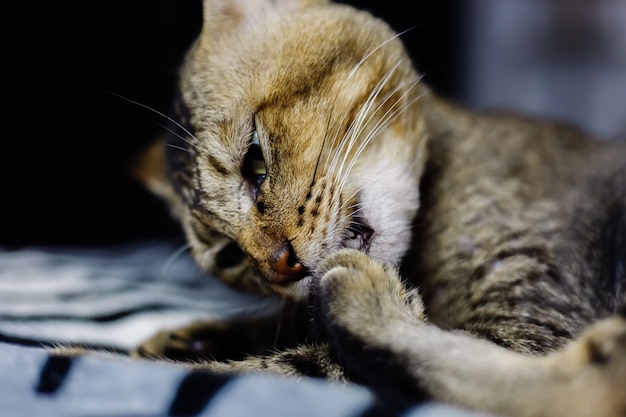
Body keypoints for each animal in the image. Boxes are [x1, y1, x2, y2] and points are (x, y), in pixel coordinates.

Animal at [130, 0, 624, 416]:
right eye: (230, 257)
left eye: (255, 161)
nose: (279, 266)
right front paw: (186, 336)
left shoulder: (530, 324)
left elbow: (277, 368)